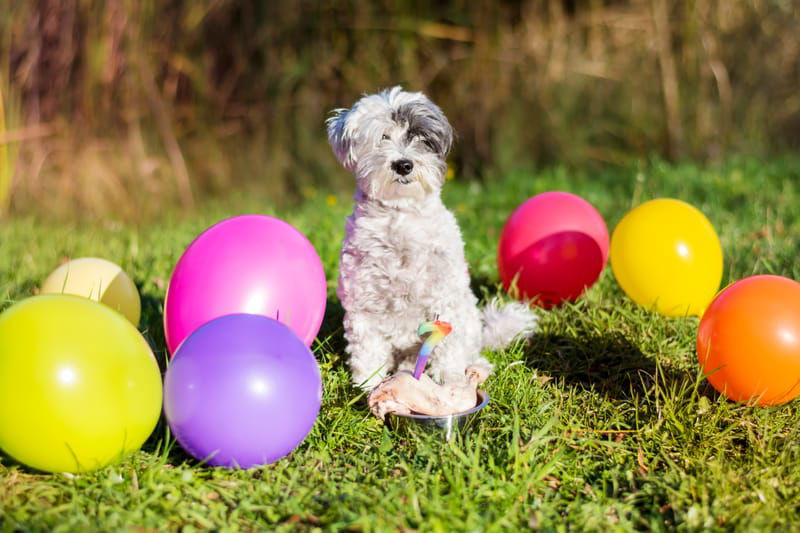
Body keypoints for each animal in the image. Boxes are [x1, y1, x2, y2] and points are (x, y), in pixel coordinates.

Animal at [324, 86, 536, 386]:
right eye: (383, 137)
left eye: (420, 138)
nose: (403, 164)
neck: (400, 216)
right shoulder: (364, 306)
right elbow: (368, 352)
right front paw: (368, 387)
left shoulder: (445, 300)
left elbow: (448, 350)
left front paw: (451, 382)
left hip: (468, 319)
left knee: (468, 349)